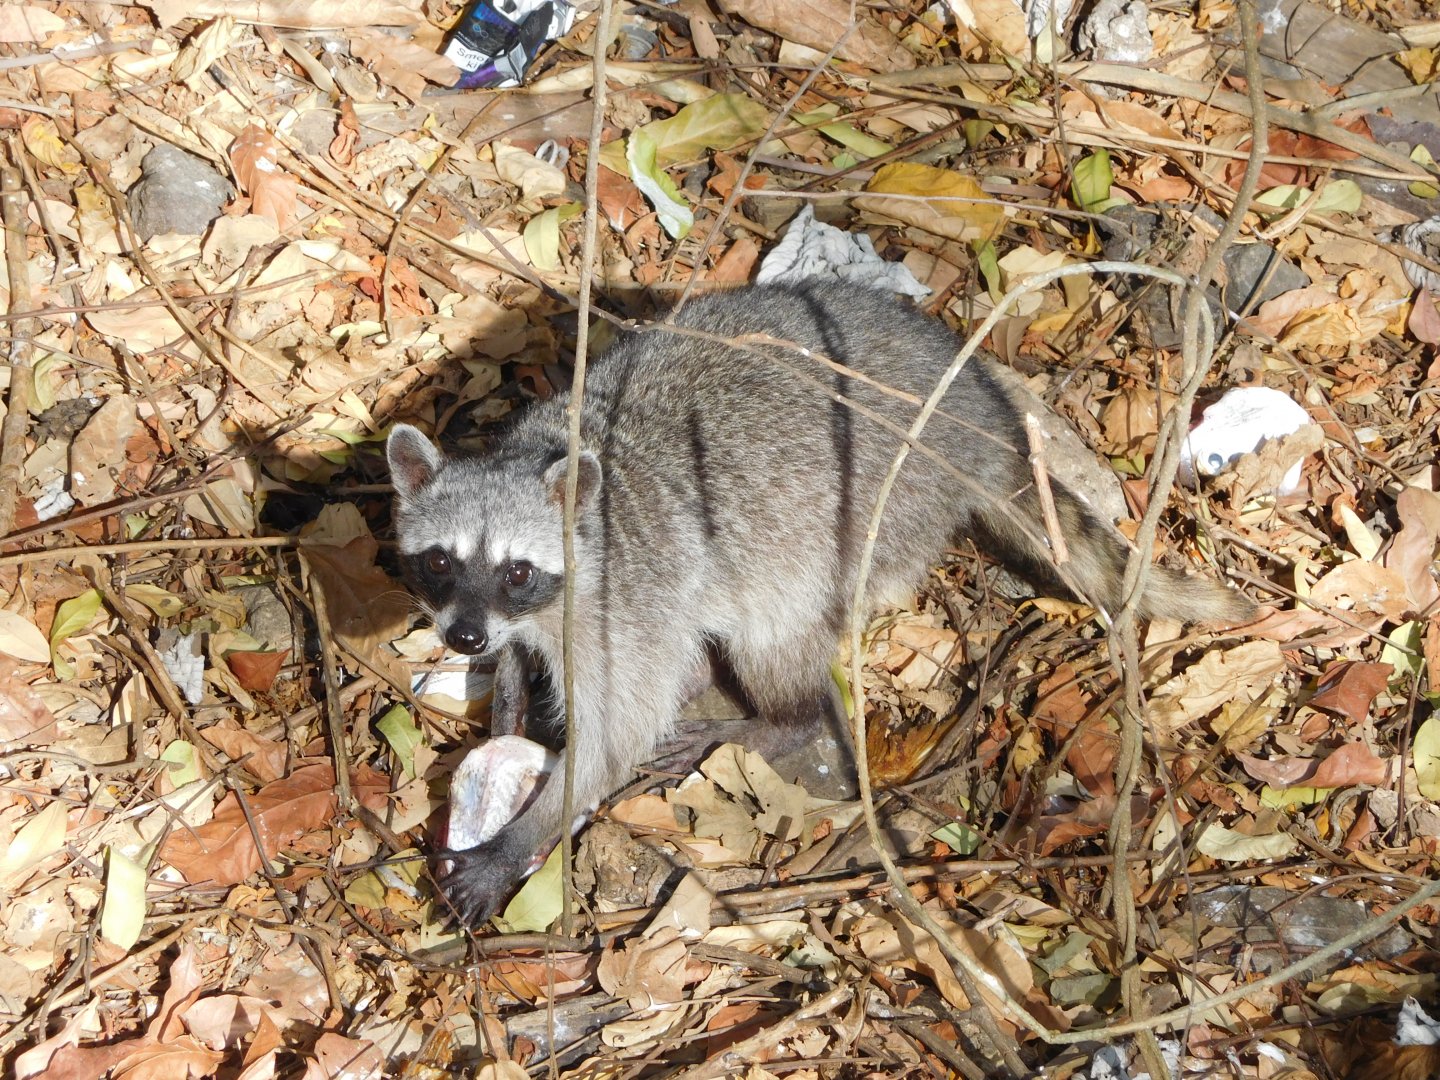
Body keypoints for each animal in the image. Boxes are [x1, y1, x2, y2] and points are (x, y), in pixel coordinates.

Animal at [387, 281, 1253, 924]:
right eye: (440, 561)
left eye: (517, 571)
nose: (464, 640)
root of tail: (979, 419)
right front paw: (504, 696)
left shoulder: (621, 603)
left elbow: (616, 734)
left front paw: (517, 837)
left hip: (875, 516)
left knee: (772, 634)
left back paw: (775, 716)